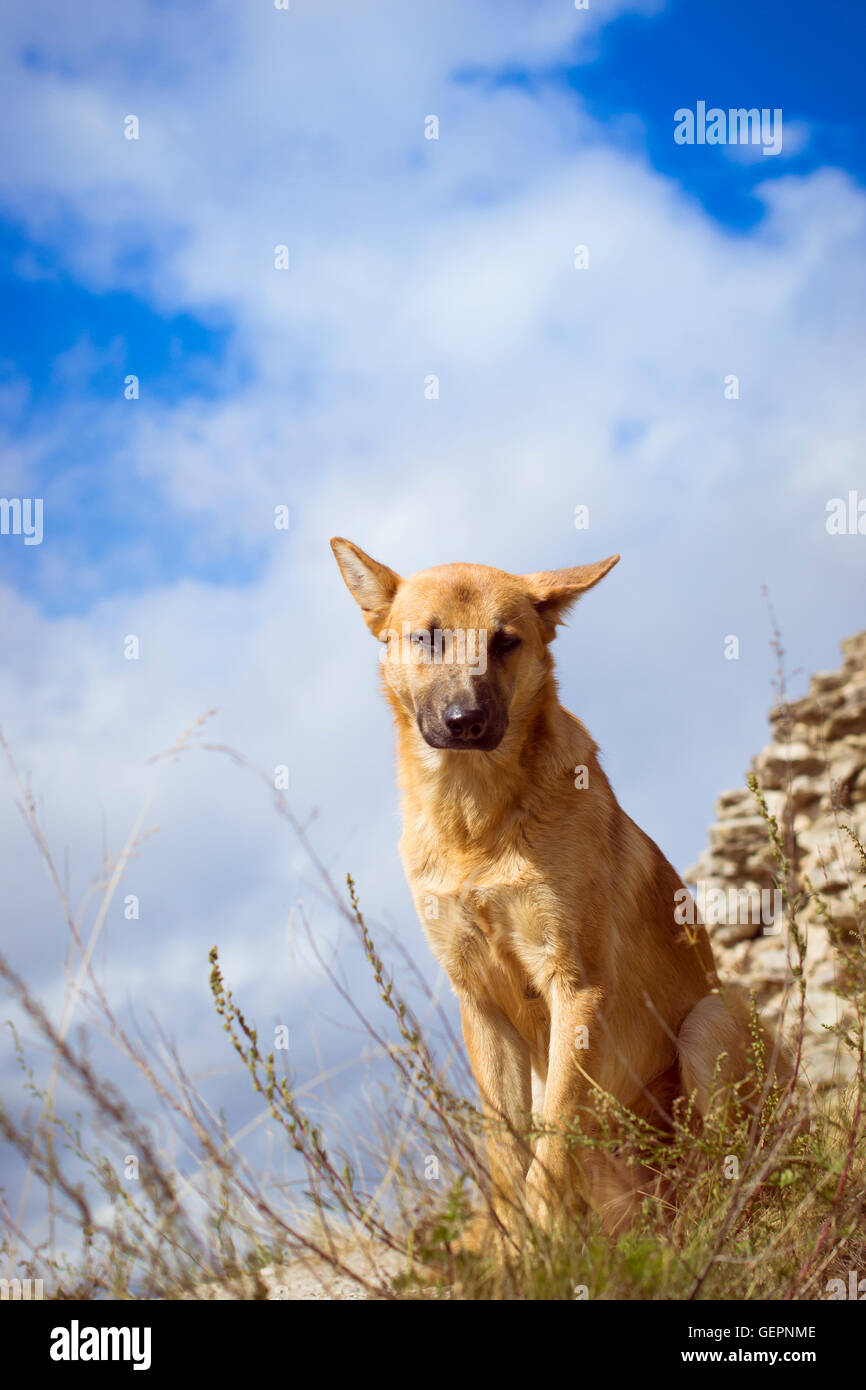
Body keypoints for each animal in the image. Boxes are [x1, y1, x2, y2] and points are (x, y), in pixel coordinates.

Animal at [330, 536, 783, 1234]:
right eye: (428, 638)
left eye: (505, 642)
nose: (465, 721)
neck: (477, 823)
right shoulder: (481, 1005)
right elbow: (507, 1158)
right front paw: (521, 1246)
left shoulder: (576, 986)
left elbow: (549, 1150)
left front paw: (543, 1238)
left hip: (710, 1021)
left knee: (725, 1175)